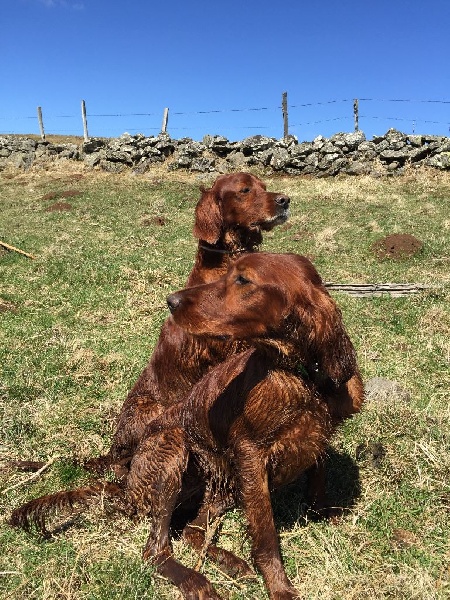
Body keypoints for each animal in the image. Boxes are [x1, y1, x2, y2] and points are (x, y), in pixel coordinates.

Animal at [9, 253, 362, 600]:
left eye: (243, 279)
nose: (171, 300)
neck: (301, 375)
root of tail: (129, 489)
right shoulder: (251, 456)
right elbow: (266, 536)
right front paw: (280, 588)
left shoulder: (316, 438)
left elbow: (316, 484)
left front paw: (323, 514)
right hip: (174, 448)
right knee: (156, 550)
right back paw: (197, 581)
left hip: (222, 488)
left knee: (191, 530)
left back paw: (231, 563)